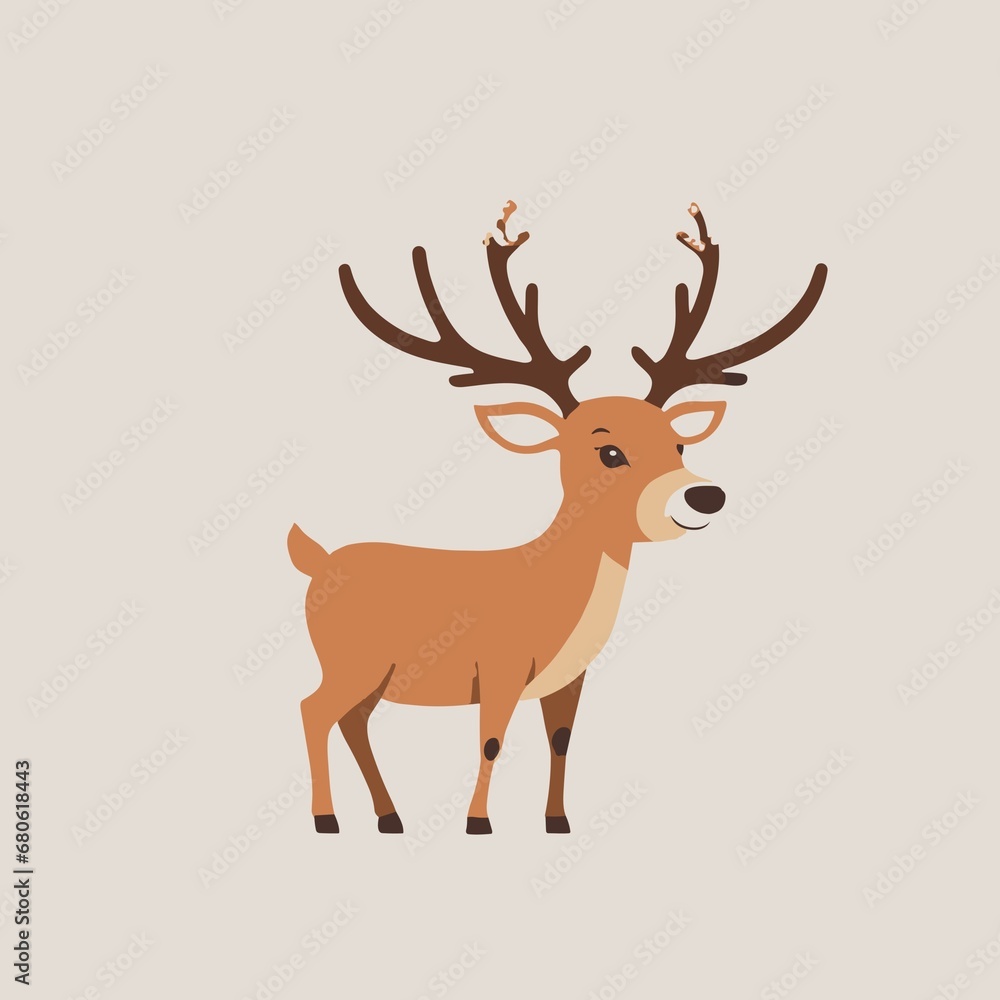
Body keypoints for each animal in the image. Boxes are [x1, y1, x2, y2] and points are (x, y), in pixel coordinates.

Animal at [288, 201, 827, 835]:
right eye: (608, 451)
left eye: (678, 445)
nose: (704, 496)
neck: (551, 593)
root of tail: (316, 561)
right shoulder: (498, 664)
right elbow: (491, 740)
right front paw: (478, 824)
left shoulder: (569, 677)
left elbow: (562, 740)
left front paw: (557, 822)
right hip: (351, 659)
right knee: (314, 709)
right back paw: (328, 819)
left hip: (372, 673)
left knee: (353, 722)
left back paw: (389, 817)